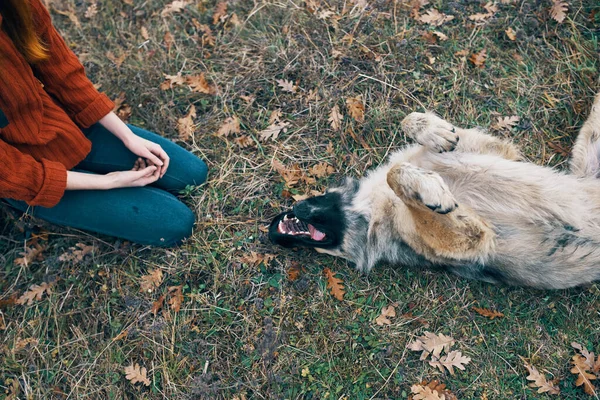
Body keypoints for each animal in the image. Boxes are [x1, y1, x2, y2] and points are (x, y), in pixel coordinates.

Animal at [270, 92, 600, 290]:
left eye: (316, 195)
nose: (270, 229)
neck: (373, 209)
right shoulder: (472, 238)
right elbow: (396, 174)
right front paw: (433, 191)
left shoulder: (497, 151)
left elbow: (404, 141)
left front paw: (433, 130)